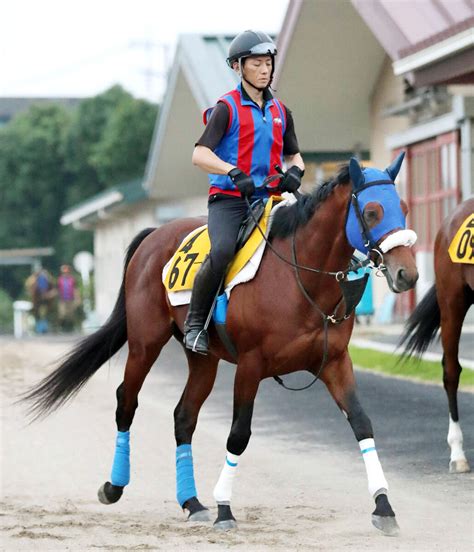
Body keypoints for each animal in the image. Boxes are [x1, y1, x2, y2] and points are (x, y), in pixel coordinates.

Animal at [23, 154, 418, 536]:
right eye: (372, 212)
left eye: (403, 207)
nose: (408, 274)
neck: (298, 276)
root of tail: (154, 234)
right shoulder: (250, 366)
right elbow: (238, 435)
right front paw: (225, 509)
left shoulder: (335, 362)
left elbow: (362, 423)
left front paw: (384, 506)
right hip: (145, 344)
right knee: (126, 401)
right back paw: (114, 486)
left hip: (203, 359)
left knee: (184, 416)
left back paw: (192, 502)